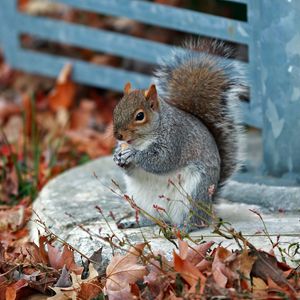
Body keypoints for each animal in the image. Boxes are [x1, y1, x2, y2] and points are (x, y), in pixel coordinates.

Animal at [112, 40, 244, 232]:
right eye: (115, 109)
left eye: (140, 116)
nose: (118, 135)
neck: (142, 140)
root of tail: (209, 206)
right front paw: (117, 156)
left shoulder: (176, 139)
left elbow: (162, 160)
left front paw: (133, 155)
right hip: (141, 201)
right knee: (150, 219)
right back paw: (134, 222)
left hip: (193, 194)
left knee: (195, 221)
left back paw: (182, 228)